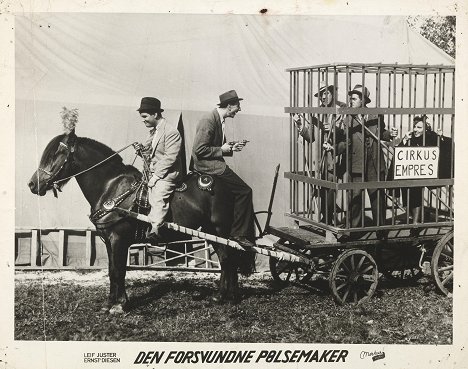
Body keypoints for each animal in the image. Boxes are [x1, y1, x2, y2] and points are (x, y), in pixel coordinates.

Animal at [28, 128, 256, 312]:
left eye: (57, 153)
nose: (32, 184)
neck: (110, 187)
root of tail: (227, 186)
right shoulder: (108, 241)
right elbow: (112, 271)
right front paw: (110, 303)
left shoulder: (119, 240)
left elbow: (119, 271)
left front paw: (120, 305)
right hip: (211, 230)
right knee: (228, 259)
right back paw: (227, 296)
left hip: (219, 229)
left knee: (227, 259)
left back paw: (226, 296)